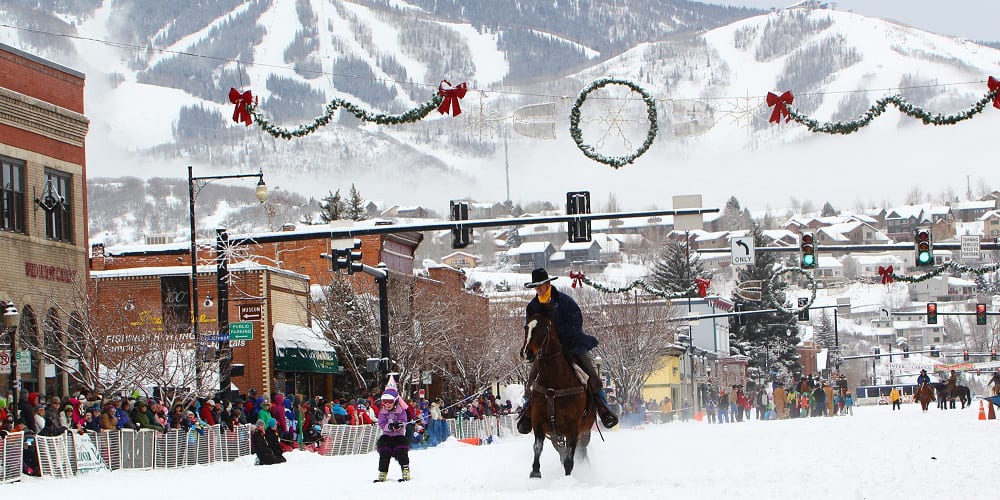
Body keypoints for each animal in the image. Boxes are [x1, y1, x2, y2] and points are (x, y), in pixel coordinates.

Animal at [524, 312, 592, 476]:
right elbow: (537, 447)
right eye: (526, 328)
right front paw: (535, 472)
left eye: (543, 329)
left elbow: (569, 459)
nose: (527, 352)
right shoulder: (539, 422)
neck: (553, 385)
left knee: (580, 450)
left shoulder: (573, 428)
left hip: (584, 432)